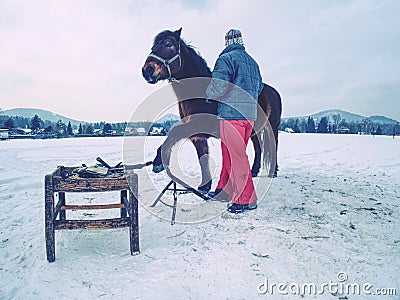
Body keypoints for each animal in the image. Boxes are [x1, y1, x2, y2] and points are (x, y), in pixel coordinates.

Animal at [141, 28, 282, 192]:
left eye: (169, 44)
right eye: (153, 46)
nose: (147, 70)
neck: (201, 94)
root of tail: (274, 91)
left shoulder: (196, 126)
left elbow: (173, 131)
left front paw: (159, 160)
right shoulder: (198, 136)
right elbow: (202, 158)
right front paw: (205, 186)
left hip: (273, 127)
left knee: (274, 146)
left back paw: (273, 171)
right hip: (254, 130)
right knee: (258, 148)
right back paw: (254, 171)